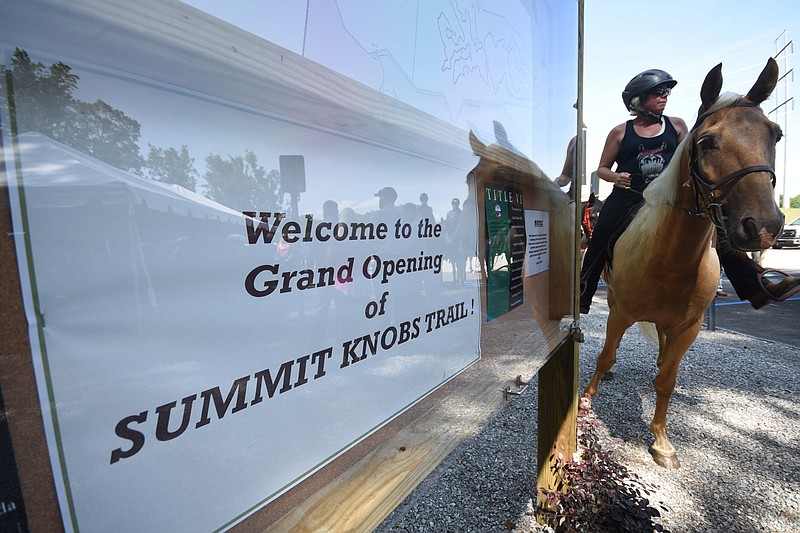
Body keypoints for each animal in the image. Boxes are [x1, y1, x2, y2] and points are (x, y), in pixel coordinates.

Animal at [584, 56, 784, 468]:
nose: (762, 227)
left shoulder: (688, 327)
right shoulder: (621, 313)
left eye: (776, 135)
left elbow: (668, 379)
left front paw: (662, 442)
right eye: (706, 142)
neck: (671, 259)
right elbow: (606, 357)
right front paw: (587, 402)